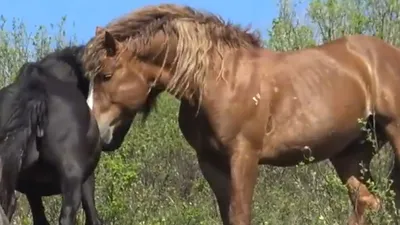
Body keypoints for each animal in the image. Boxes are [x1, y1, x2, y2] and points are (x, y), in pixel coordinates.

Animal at [0, 46, 104, 225]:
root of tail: (36, 88)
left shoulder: (31, 189)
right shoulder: (86, 179)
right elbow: (92, 216)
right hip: (72, 179)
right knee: (68, 215)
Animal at [82, 3, 400, 225]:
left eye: (106, 75)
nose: (95, 131)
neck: (216, 80)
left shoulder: (244, 156)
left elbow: (241, 214)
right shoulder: (211, 163)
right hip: (351, 153)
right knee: (367, 202)